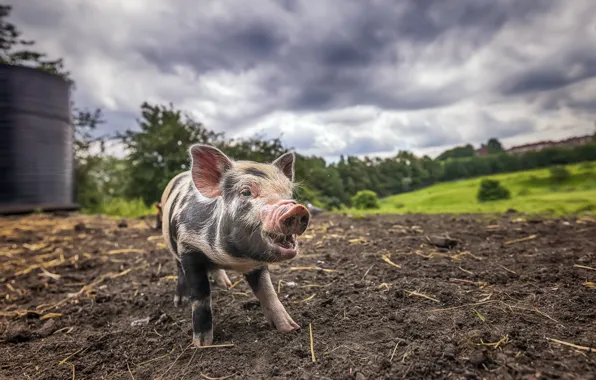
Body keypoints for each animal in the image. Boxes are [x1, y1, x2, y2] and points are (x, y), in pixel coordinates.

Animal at [158, 144, 312, 346]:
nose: (297, 208)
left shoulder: (257, 261)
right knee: (179, 270)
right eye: (245, 192)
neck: (233, 259)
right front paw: (202, 345)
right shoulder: (188, 247)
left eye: (288, 193)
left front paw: (291, 328)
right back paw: (180, 302)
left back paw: (227, 285)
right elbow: (200, 297)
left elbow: (268, 292)